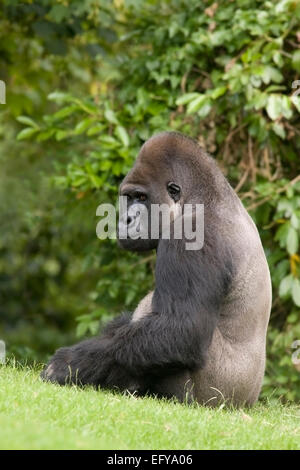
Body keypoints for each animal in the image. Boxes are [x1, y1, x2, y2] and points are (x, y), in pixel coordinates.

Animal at [41, 130, 270, 406]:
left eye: (141, 198)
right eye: (128, 197)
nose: (126, 218)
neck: (202, 198)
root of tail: (247, 403)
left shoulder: (190, 237)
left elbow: (182, 330)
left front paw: (71, 363)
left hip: (213, 398)